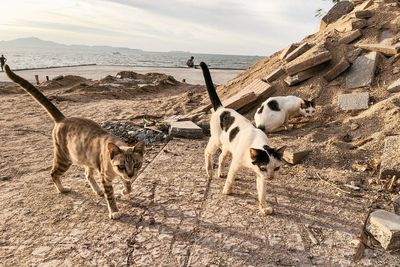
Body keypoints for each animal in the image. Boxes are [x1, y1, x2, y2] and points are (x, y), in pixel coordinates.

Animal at [3, 65, 145, 220]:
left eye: (136, 164)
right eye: (121, 166)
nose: (131, 174)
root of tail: (63, 119)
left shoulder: (120, 176)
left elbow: (128, 187)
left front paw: (124, 191)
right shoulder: (105, 179)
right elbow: (111, 197)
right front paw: (114, 211)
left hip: (87, 159)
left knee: (87, 175)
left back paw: (97, 191)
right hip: (65, 160)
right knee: (53, 174)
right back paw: (63, 189)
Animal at [199, 62, 284, 216]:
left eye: (276, 168)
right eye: (264, 167)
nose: (270, 178)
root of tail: (222, 109)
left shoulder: (260, 176)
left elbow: (262, 193)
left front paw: (264, 208)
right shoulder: (237, 164)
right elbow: (230, 178)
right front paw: (227, 191)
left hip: (227, 146)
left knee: (221, 157)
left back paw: (220, 172)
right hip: (216, 141)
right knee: (207, 152)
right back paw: (209, 171)